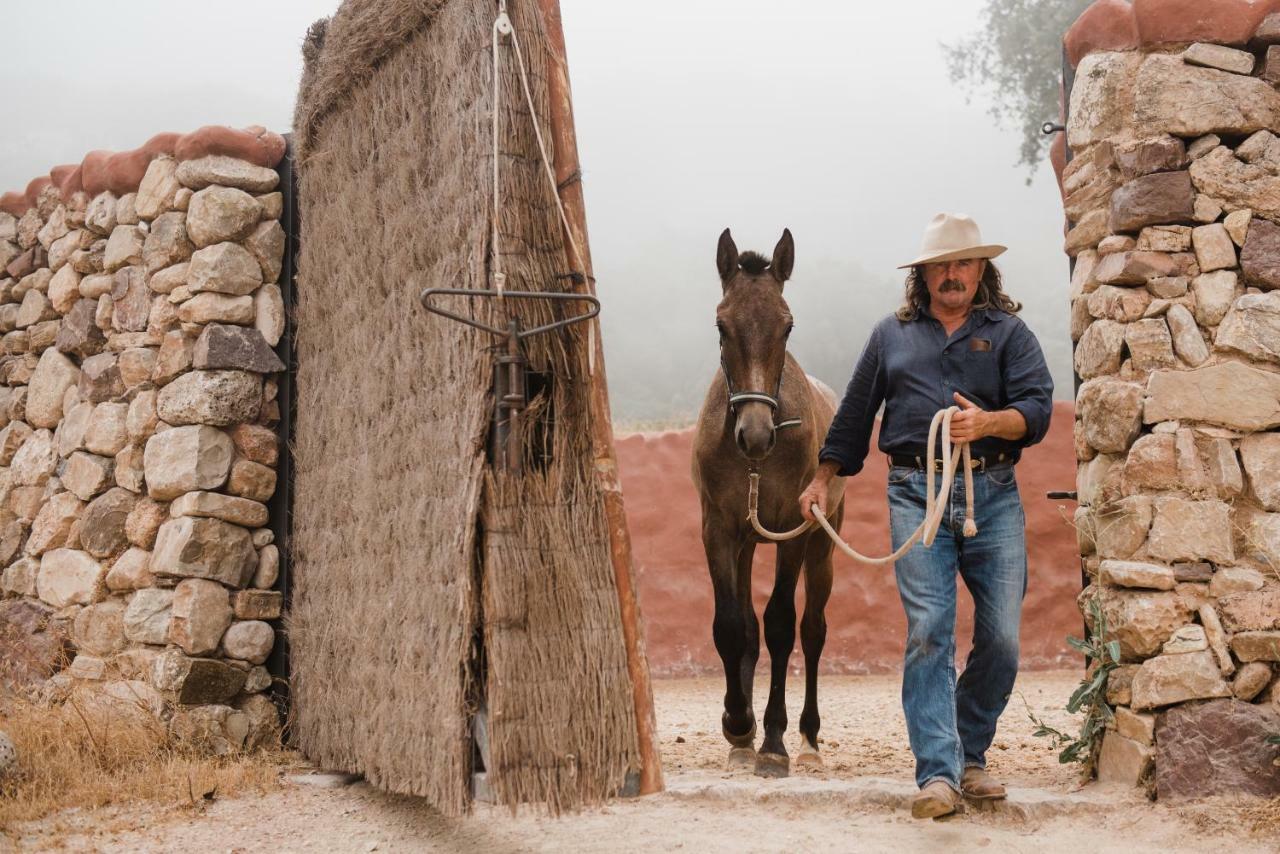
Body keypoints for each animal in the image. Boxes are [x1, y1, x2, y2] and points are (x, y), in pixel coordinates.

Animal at [696, 230, 844, 778]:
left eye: (787, 325)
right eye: (721, 324)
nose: (756, 436)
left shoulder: (791, 530)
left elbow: (782, 624)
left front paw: (773, 742)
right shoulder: (719, 531)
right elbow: (731, 626)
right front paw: (738, 724)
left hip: (823, 543)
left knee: (813, 629)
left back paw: (807, 737)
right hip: (746, 545)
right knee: (748, 625)